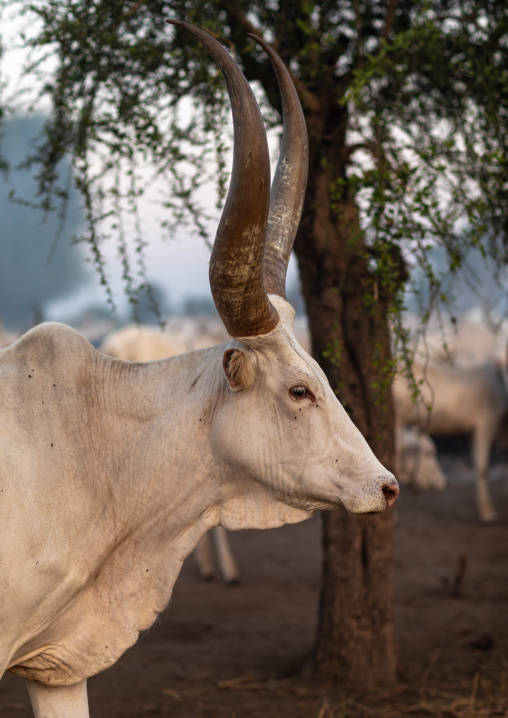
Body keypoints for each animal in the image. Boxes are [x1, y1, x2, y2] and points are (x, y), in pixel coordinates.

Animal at [393, 360, 508, 521]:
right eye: (428, 454)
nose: (442, 483)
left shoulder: (472, 433)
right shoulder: (486, 424)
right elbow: (483, 468)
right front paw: (487, 510)